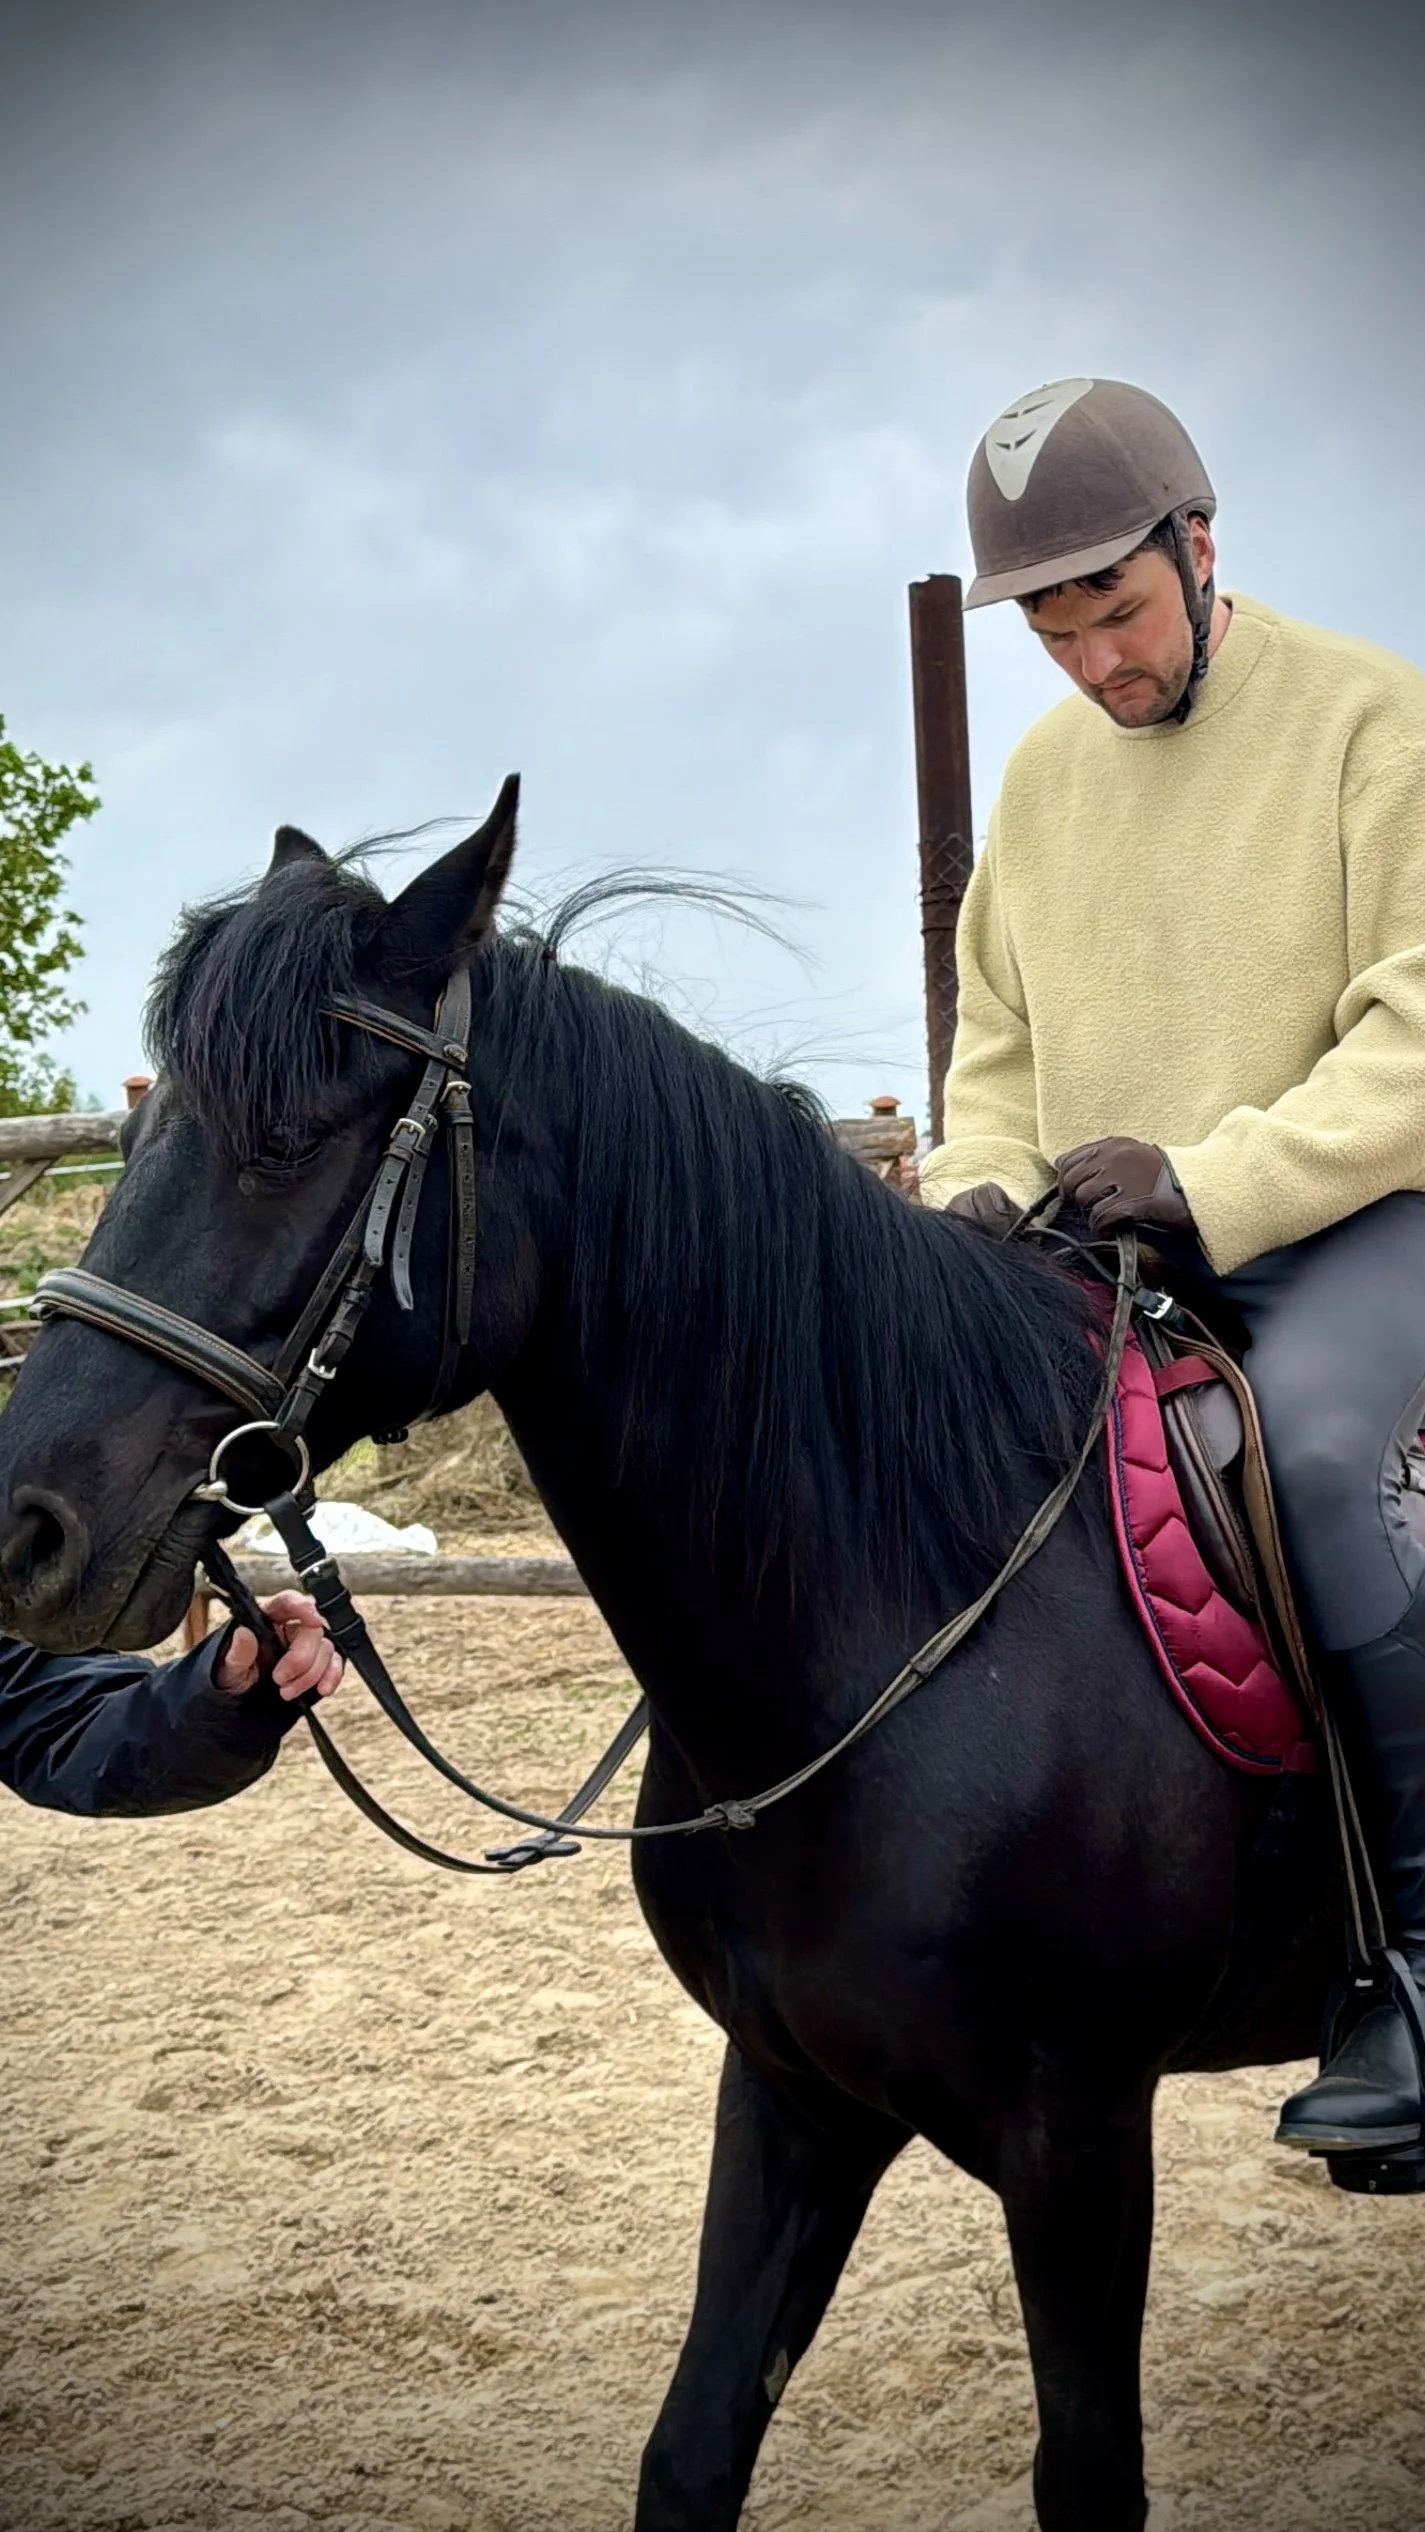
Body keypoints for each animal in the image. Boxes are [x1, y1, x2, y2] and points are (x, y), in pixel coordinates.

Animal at [0, 784, 1339, 2531]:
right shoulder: (792, 2094)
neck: (915, 1619)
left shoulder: (1082, 2141)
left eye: (284, 1141)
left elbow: (1084, 2477)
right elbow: (692, 2448)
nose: (27, 1526)